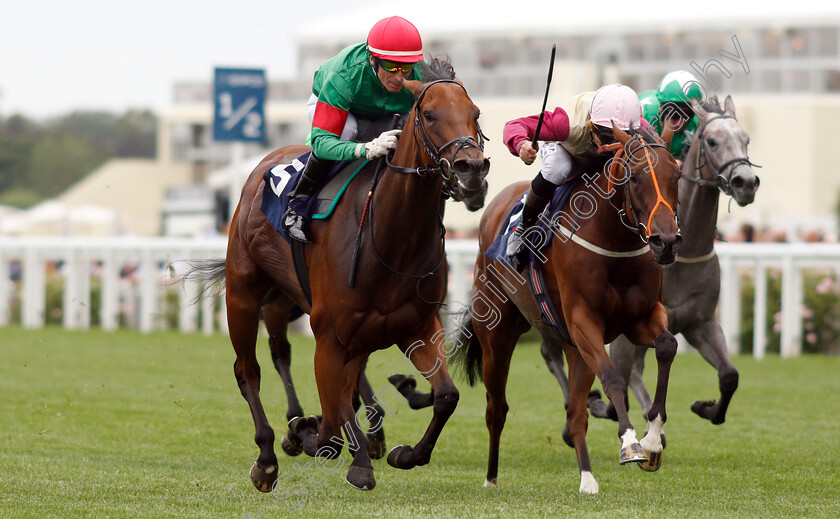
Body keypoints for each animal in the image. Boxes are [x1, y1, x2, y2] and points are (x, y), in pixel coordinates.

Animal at [196, 63, 488, 494]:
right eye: (430, 114)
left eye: (476, 113)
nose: (473, 168)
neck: (392, 237)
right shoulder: (330, 334)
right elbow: (330, 428)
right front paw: (314, 436)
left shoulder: (414, 326)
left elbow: (446, 395)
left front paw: (403, 453)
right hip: (245, 296)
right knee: (250, 370)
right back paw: (268, 456)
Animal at [452, 124, 684, 494]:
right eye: (634, 177)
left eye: (676, 174)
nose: (666, 241)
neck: (614, 241)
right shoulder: (583, 321)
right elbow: (613, 378)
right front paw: (630, 443)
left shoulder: (641, 318)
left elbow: (667, 345)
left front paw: (652, 441)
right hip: (497, 337)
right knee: (496, 409)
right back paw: (490, 477)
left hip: (572, 346)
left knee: (576, 415)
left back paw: (587, 479)